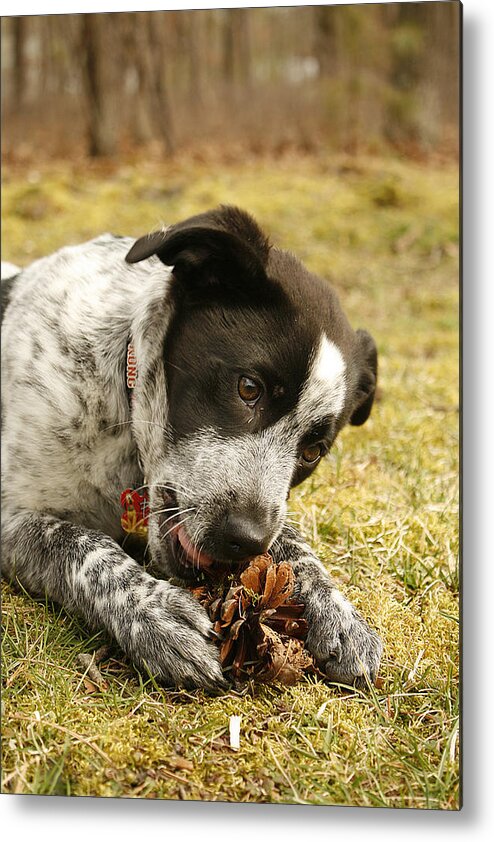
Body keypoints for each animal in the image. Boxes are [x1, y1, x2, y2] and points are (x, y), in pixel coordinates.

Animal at [0, 205, 382, 688]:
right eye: (248, 387)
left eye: (312, 451)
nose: (245, 542)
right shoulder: (12, 514)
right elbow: (81, 545)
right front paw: (156, 611)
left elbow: (293, 543)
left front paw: (339, 613)